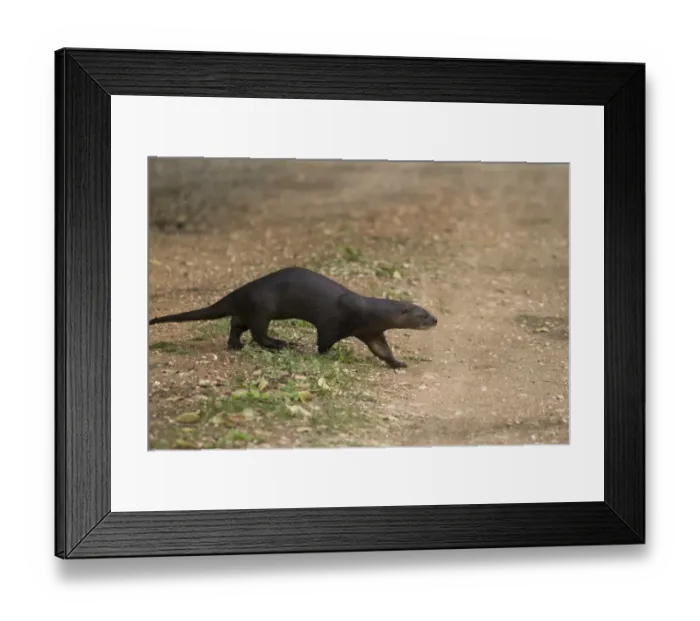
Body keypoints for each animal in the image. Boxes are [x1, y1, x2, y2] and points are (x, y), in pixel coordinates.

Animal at [148, 267, 437, 368]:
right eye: (423, 315)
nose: (435, 320)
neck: (367, 312)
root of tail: (241, 291)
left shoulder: (372, 332)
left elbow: (382, 350)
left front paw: (398, 362)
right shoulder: (332, 322)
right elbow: (324, 341)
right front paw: (326, 354)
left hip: (251, 309)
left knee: (236, 324)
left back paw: (235, 344)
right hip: (263, 307)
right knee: (259, 333)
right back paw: (281, 343)